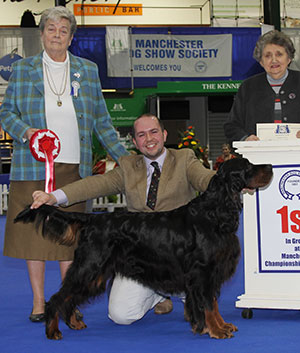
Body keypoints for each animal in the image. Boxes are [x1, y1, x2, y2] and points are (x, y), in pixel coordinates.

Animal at [15, 157, 272, 338]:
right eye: (248, 167)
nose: (270, 166)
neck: (214, 212)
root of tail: (94, 220)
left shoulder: (211, 274)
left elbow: (214, 304)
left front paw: (221, 326)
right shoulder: (203, 272)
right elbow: (208, 305)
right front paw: (216, 331)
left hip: (96, 273)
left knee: (70, 297)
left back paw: (74, 323)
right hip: (89, 267)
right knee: (58, 297)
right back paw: (52, 331)